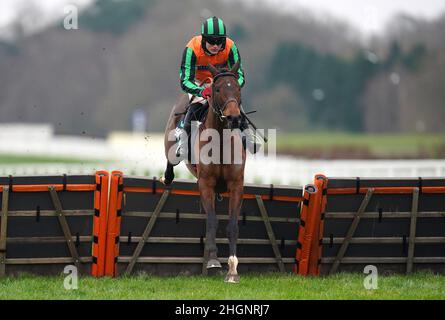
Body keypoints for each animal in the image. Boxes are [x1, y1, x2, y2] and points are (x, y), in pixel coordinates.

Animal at [162, 61, 246, 284]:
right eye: (217, 89)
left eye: (237, 87)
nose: (234, 117)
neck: (221, 143)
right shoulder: (205, 183)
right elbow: (212, 220)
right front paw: (214, 260)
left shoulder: (237, 185)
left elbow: (233, 225)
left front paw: (232, 270)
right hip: (170, 141)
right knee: (170, 160)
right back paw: (167, 177)